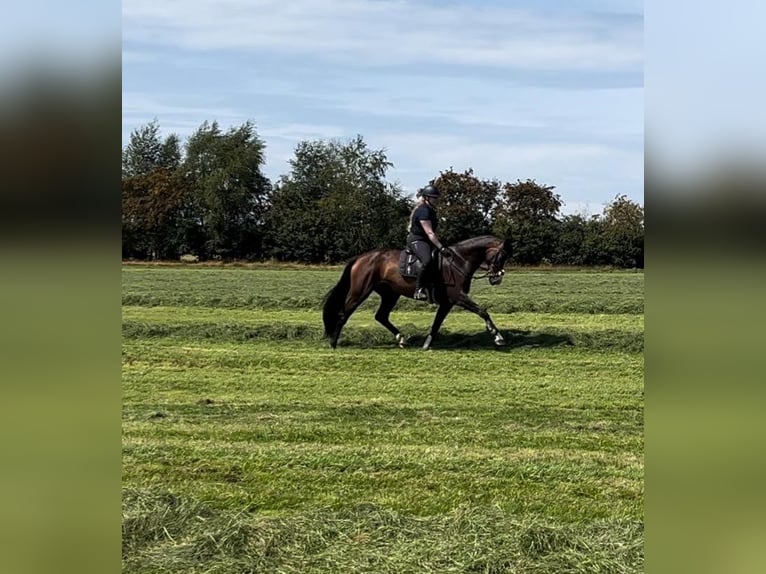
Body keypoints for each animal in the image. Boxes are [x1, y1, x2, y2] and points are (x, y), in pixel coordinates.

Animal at [320, 234, 512, 352]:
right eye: (501, 256)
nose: (497, 278)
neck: (458, 261)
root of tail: (361, 257)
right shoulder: (458, 297)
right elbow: (482, 311)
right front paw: (498, 336)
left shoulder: (447, 302)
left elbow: (436, 324)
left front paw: (427, 344)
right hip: (360, 292)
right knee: (343, 314)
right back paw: (333, 343)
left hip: (390, 295)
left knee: (381, 316)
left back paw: (401, 338)